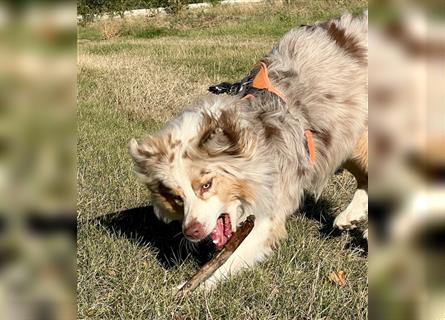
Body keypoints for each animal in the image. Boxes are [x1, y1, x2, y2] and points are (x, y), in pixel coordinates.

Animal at [128, 13, 368, 288]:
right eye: (176, 197)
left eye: (207, 185)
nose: (192, 232)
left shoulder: (272, 206)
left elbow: (232, 257)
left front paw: (191, 287)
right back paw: (350, 217)